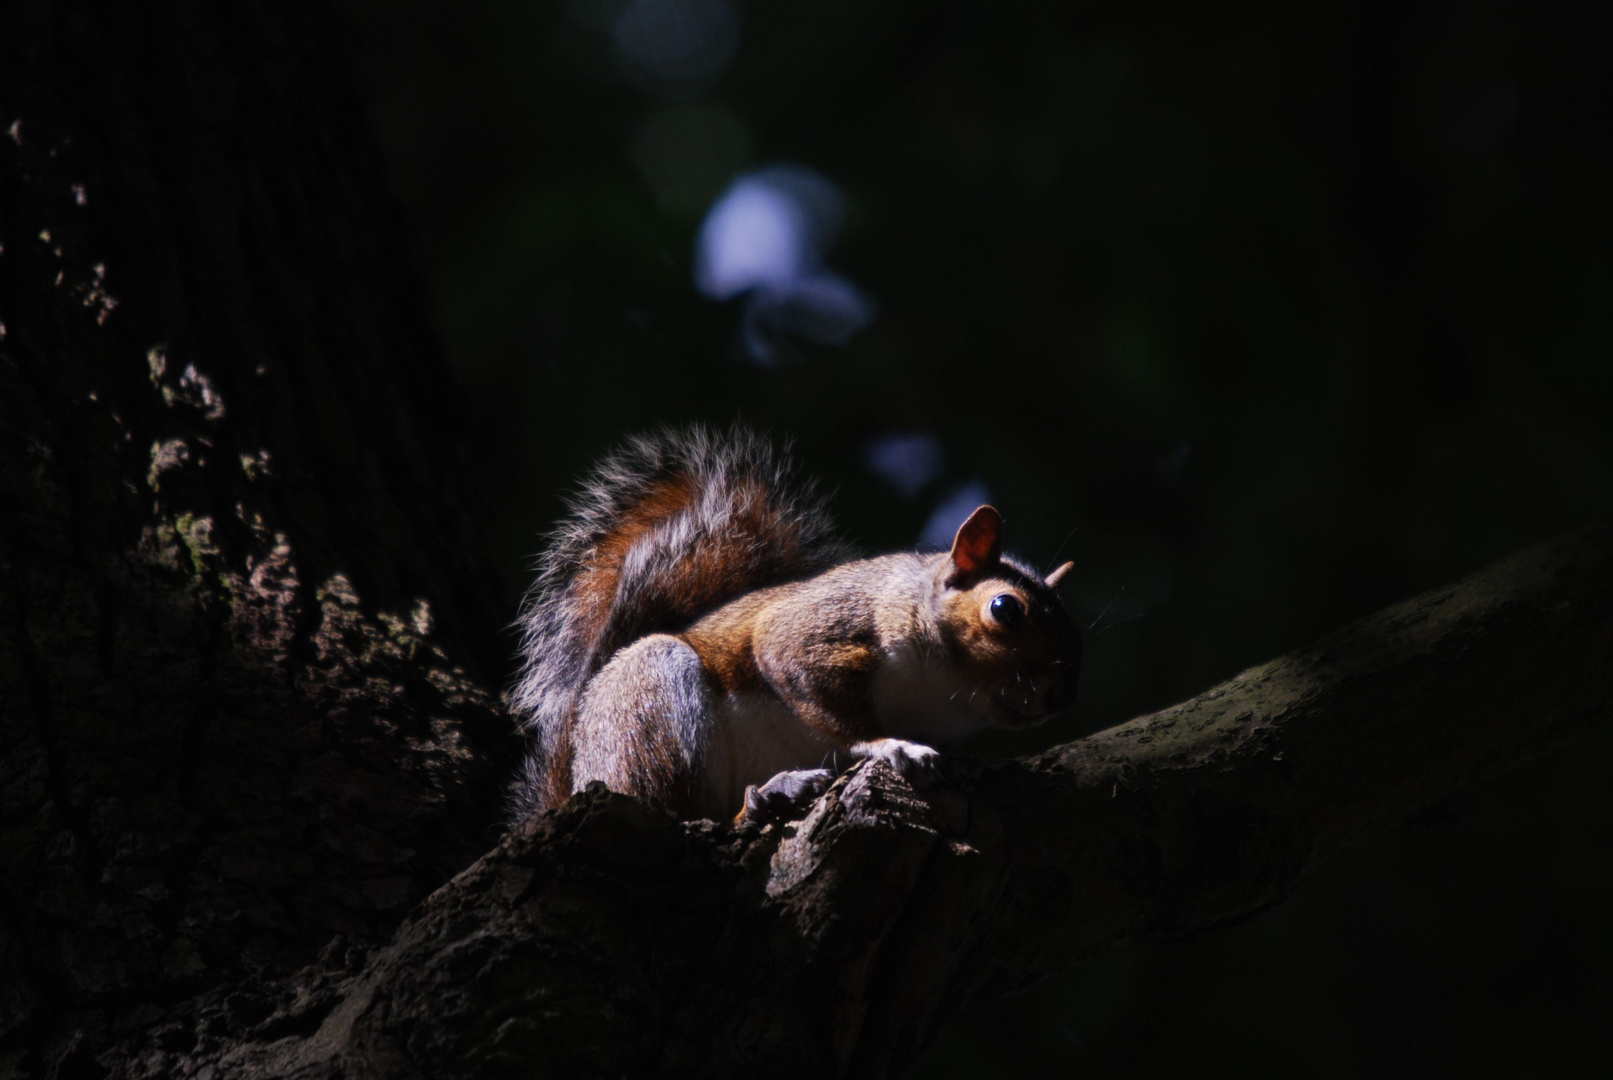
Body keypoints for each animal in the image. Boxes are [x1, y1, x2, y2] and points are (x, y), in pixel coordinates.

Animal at [509, 428, 1077, 825]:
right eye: (1005, 609)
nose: (1058, 699)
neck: (942, 691)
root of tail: (581, 775)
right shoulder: (822, 627)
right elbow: (809, 683)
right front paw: (889, 746)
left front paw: (969, 764)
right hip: (649, 705)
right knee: (689, 812)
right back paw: (766, 795)